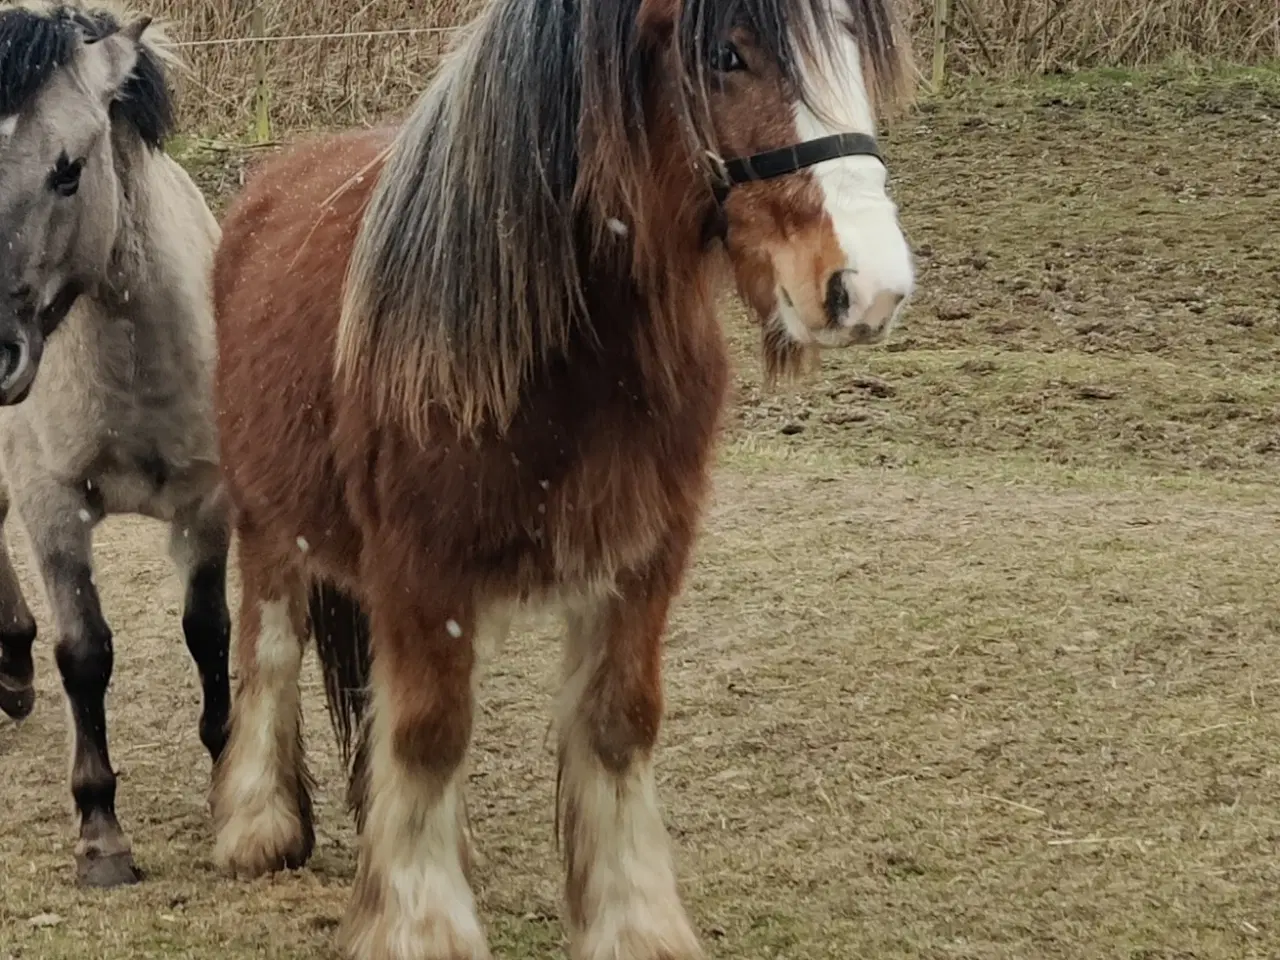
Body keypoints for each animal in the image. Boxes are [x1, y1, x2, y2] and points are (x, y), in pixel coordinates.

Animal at [0, 1, 227, 885]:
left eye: (69, 170)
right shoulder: (53, 505)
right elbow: (85, 653)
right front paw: (101, 835)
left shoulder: (209, 503)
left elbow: (208, 632)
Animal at [207, 0, 911, 957]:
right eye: (727, 58)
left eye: (849, 45)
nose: (869, 289)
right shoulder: (422, 569)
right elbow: (428, 732)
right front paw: (421, 926)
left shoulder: (643, 558)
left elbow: (616, 726)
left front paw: (637, 924)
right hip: (270, 523)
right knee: (271, 649)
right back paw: (257, 825)